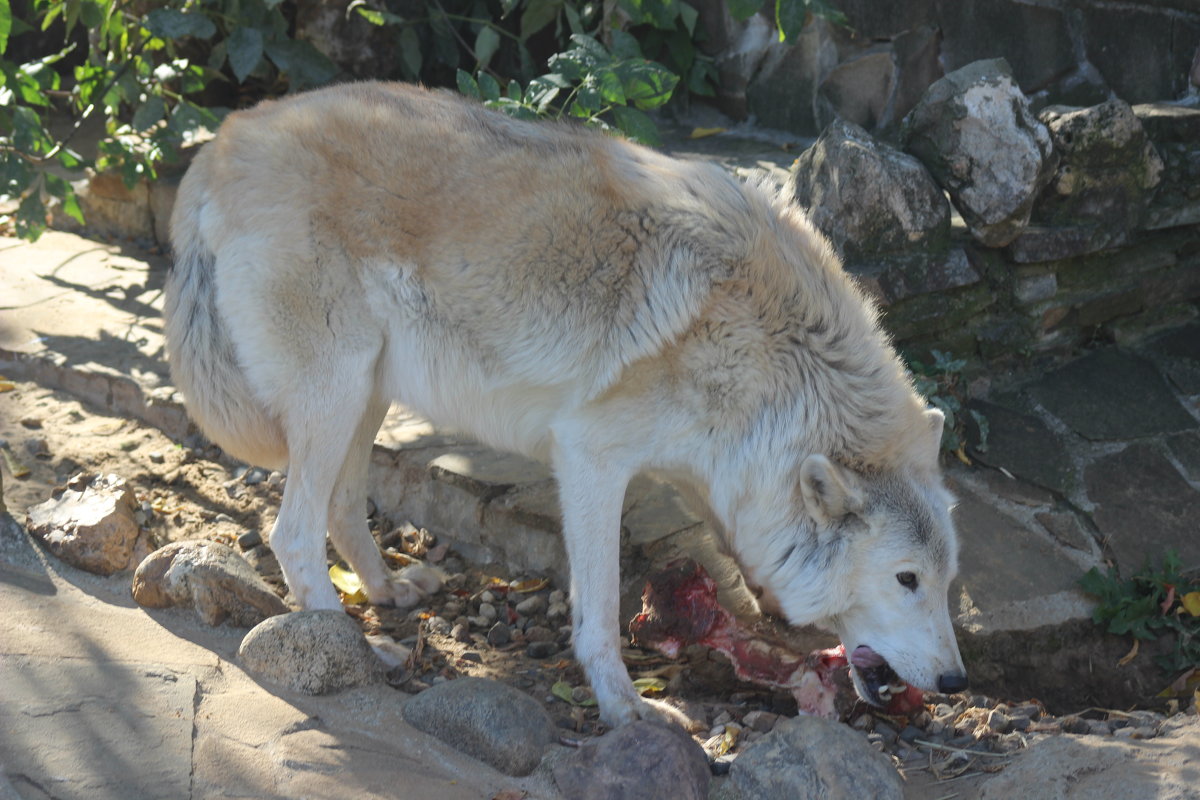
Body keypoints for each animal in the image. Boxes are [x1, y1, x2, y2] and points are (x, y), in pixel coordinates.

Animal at [164, 81, 969, 724]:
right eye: (907, 580)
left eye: (947, 579)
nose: (957, 682)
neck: (772, 352)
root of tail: (224, 139)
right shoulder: (590, 457)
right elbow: (602, 607)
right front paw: (625, 707)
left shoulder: (713, 471)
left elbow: (742, 547)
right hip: (336, 396)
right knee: (291, 533)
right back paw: (364, 652)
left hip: (364, 395)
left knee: (338, 507)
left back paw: (389, 591)